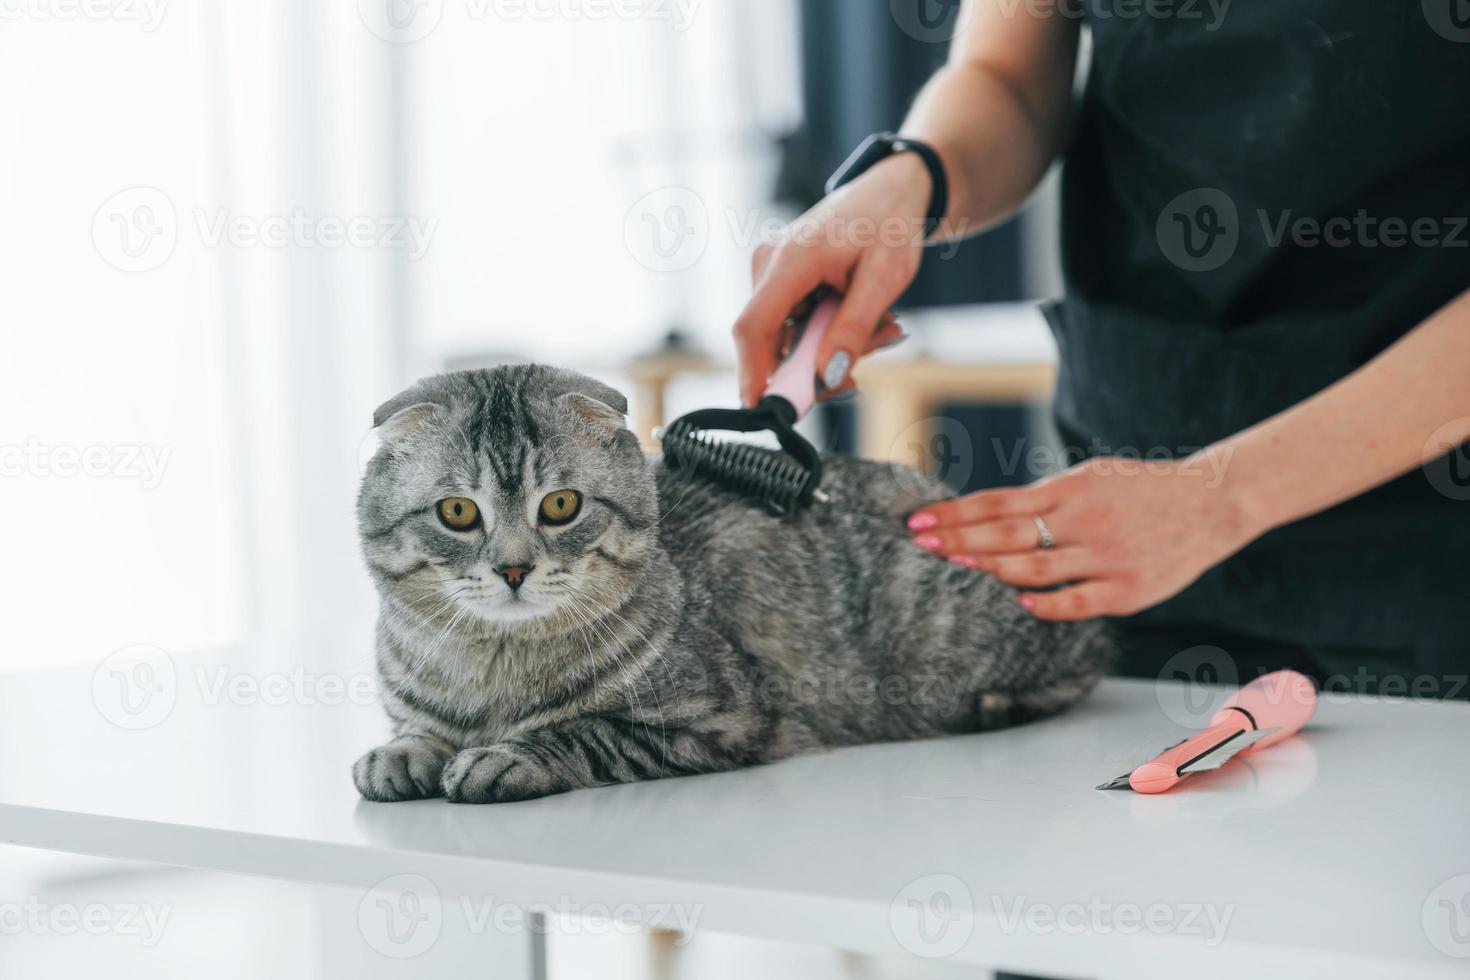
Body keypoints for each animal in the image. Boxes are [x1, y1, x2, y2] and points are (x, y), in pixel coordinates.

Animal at [355, 364, 1105, 799]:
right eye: (458, 513)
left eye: (560, 505)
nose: (513, 568)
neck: (492, 675)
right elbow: (414, 730)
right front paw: (401, 755)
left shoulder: (724, 719)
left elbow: (584, 732)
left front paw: (503, 758)